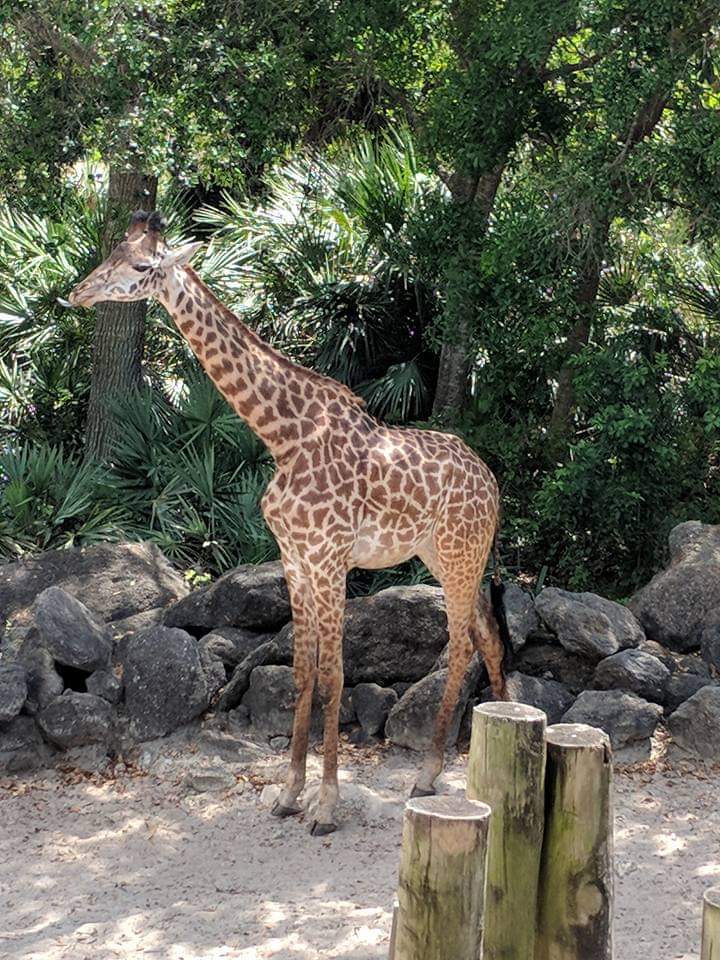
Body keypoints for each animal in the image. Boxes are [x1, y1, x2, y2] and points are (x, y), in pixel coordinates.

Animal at [67, 210, 510, 835]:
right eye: (111, 252)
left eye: (140, 264)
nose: (79, 292)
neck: (283, 438)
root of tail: (492, 482)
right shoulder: (295, 560)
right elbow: (302, 672)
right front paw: (289, 794)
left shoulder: (330, 560)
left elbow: (334, 676)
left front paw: (325, 806)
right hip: (448, 557)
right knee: (487, 637)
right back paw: (480, 754)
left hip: (458, 556)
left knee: (463, 646)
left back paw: (428, 774)